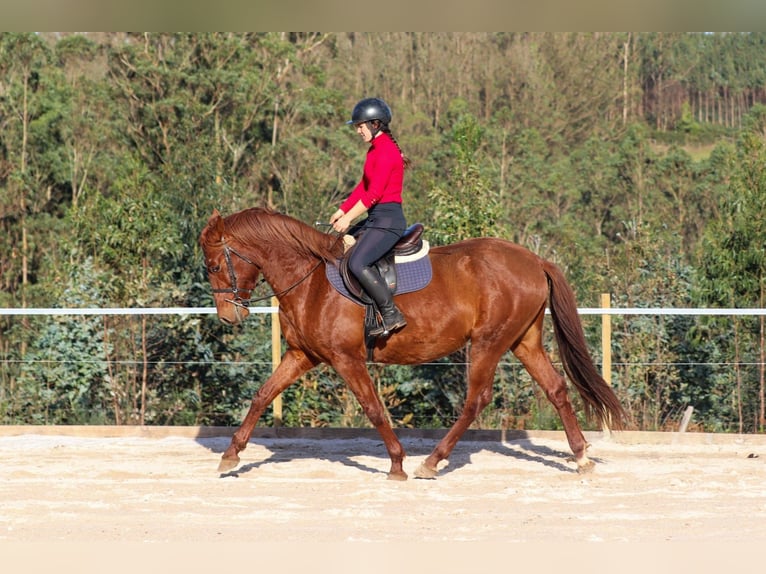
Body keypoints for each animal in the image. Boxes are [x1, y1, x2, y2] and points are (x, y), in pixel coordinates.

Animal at [201, 207, 628, 482]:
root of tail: (534, 260)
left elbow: (374, 409)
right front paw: (230, 455)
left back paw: (432, 462)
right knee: (555, 388)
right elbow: (261, 395)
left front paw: (397, 464)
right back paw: (581, 457)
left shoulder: (346, 359)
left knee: (476, 400)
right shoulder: (302, 355)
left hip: (488, 342)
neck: (310, 281)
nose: (228, 317)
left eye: (215, 266)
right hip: (523, 341)